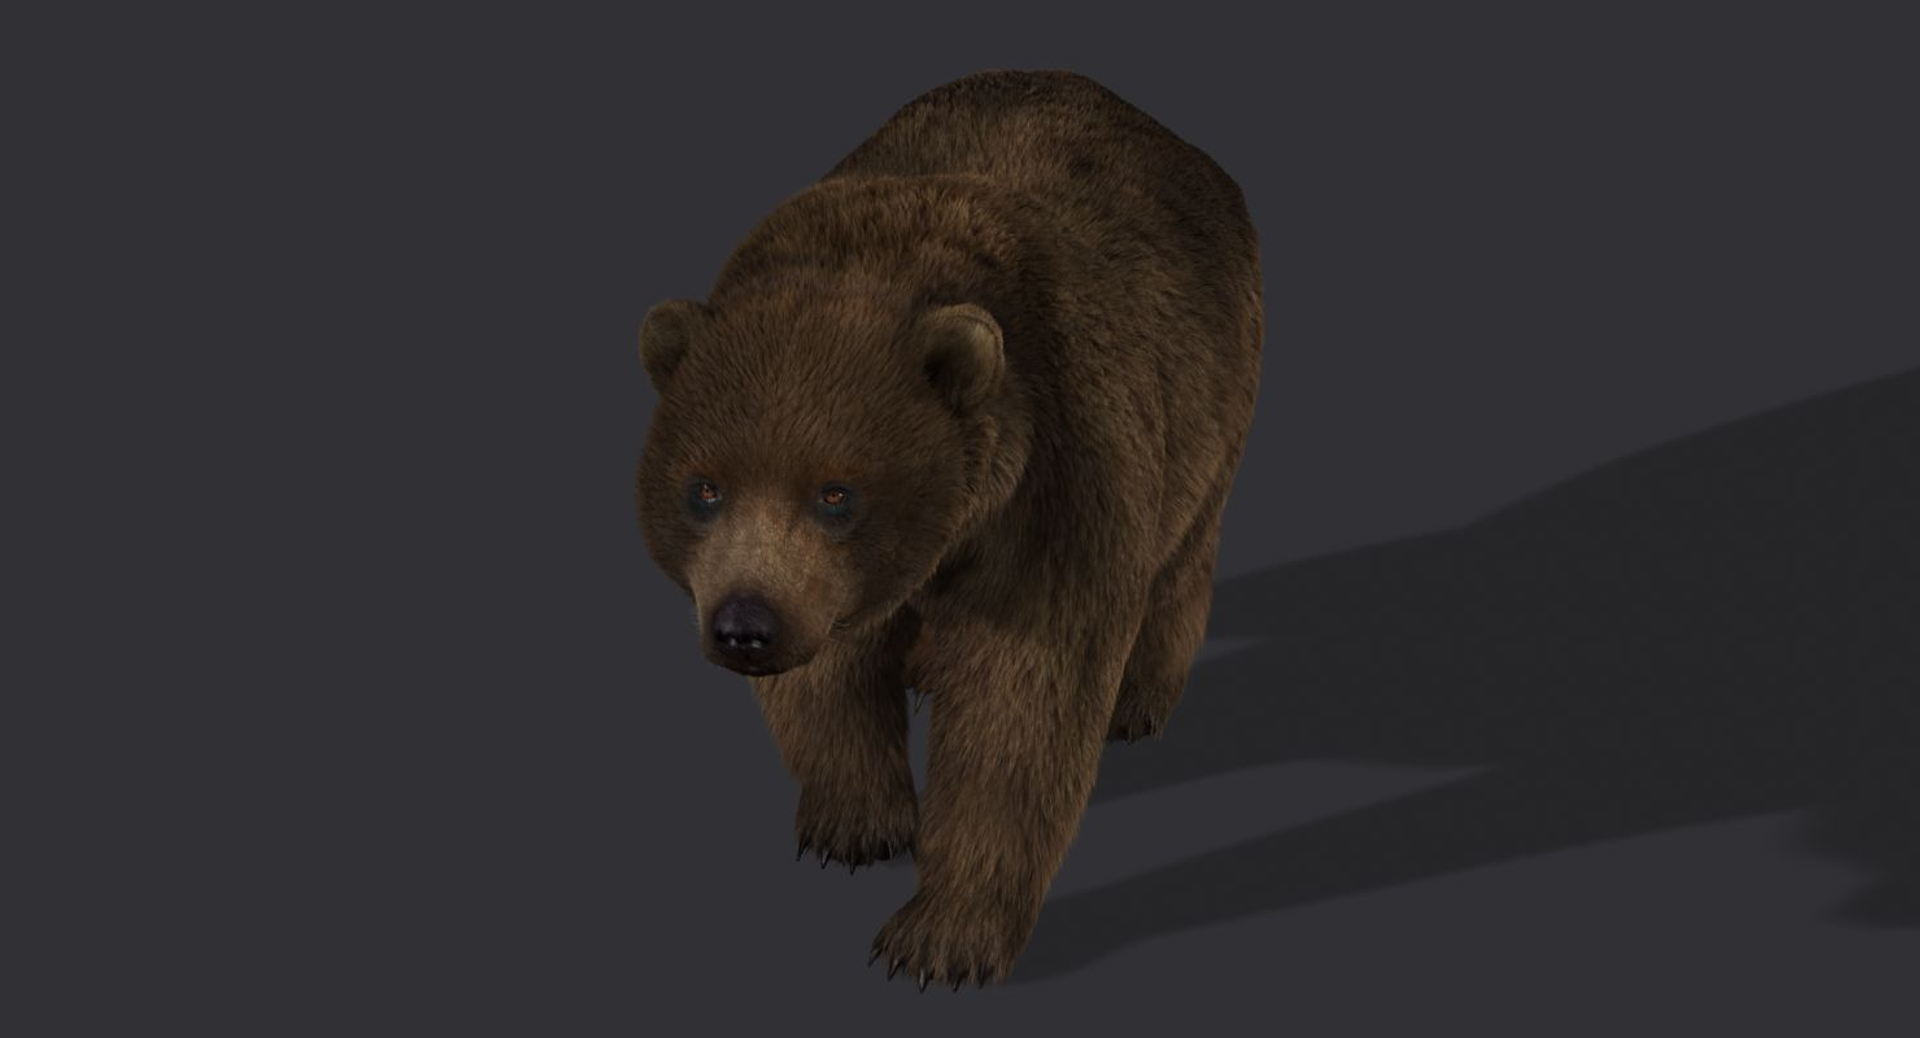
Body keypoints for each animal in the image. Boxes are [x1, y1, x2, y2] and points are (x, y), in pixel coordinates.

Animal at [634, 68, 1262, 990]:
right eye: (703, 487)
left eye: (837, 493)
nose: (746, 627)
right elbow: (829, 682)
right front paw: (857, 822)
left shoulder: (1054, 481)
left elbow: (1022, 701)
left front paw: (939, 937)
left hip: (1211, 399)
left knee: (1181, 555)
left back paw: (1139, 698)